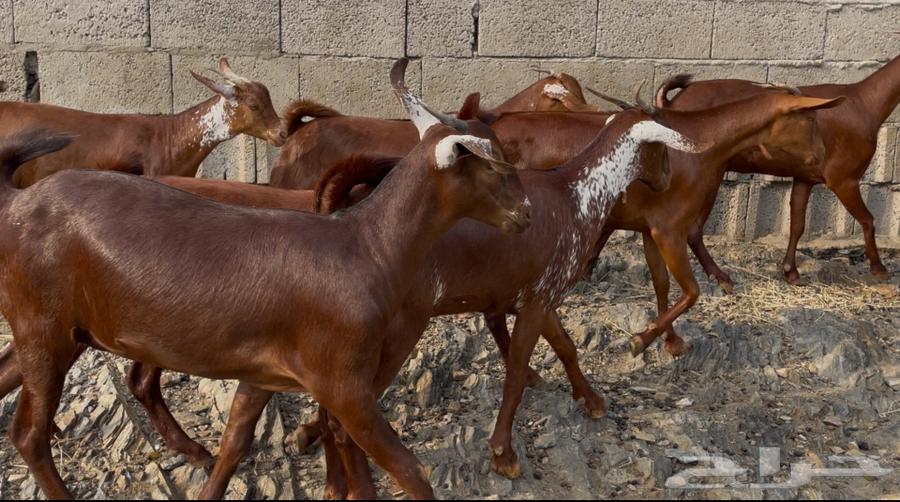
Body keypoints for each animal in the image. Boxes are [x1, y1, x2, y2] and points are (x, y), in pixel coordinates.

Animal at [656, 54, 900, 286]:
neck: (865, 103)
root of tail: (671, 103)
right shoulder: (843, 178)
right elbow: (868, 220)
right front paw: (879, 269)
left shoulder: (805, 177)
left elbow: (797, 225)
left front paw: (791, 272)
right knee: (692, 229)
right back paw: (719, 277)